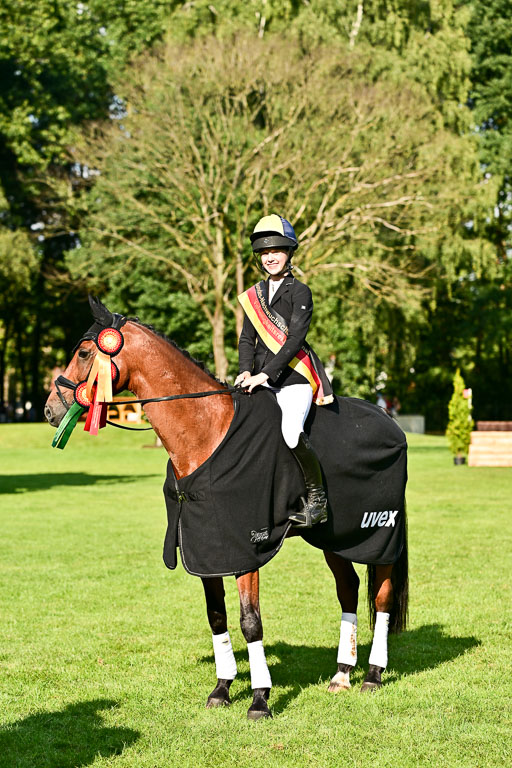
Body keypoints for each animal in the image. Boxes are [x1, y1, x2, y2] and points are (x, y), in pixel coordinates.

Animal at [45, 297, 408, 721]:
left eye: (85, 353)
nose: (51, 411)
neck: (207, 430)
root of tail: (390, 421)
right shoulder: (207, 548)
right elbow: (216, 616)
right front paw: (221, 688)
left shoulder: (243, 551)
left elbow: (251, 622)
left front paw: (260, 698)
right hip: (334, 537)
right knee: (348, 589)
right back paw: (341, 675)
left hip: (378, 535)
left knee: (381, 597)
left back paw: (373, 675)